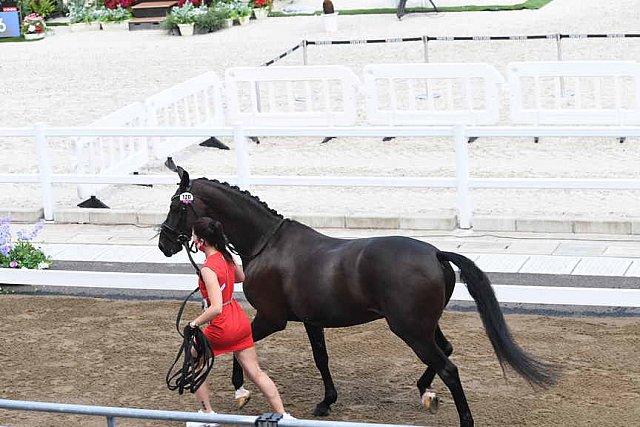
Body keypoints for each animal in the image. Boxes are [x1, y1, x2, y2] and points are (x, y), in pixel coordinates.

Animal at [159, 167, 556, 427]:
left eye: (177, 205)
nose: (163, 244)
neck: (267, 244)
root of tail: (435, 253)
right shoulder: (312, 321)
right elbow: (321, 359)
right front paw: (326, 403)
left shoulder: (273, 318)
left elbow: (241, 349)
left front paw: (241, 390)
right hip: (423, 326)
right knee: (446, 351)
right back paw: (424, 392)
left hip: (409, 329)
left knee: (449, 367)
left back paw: (460, 415)